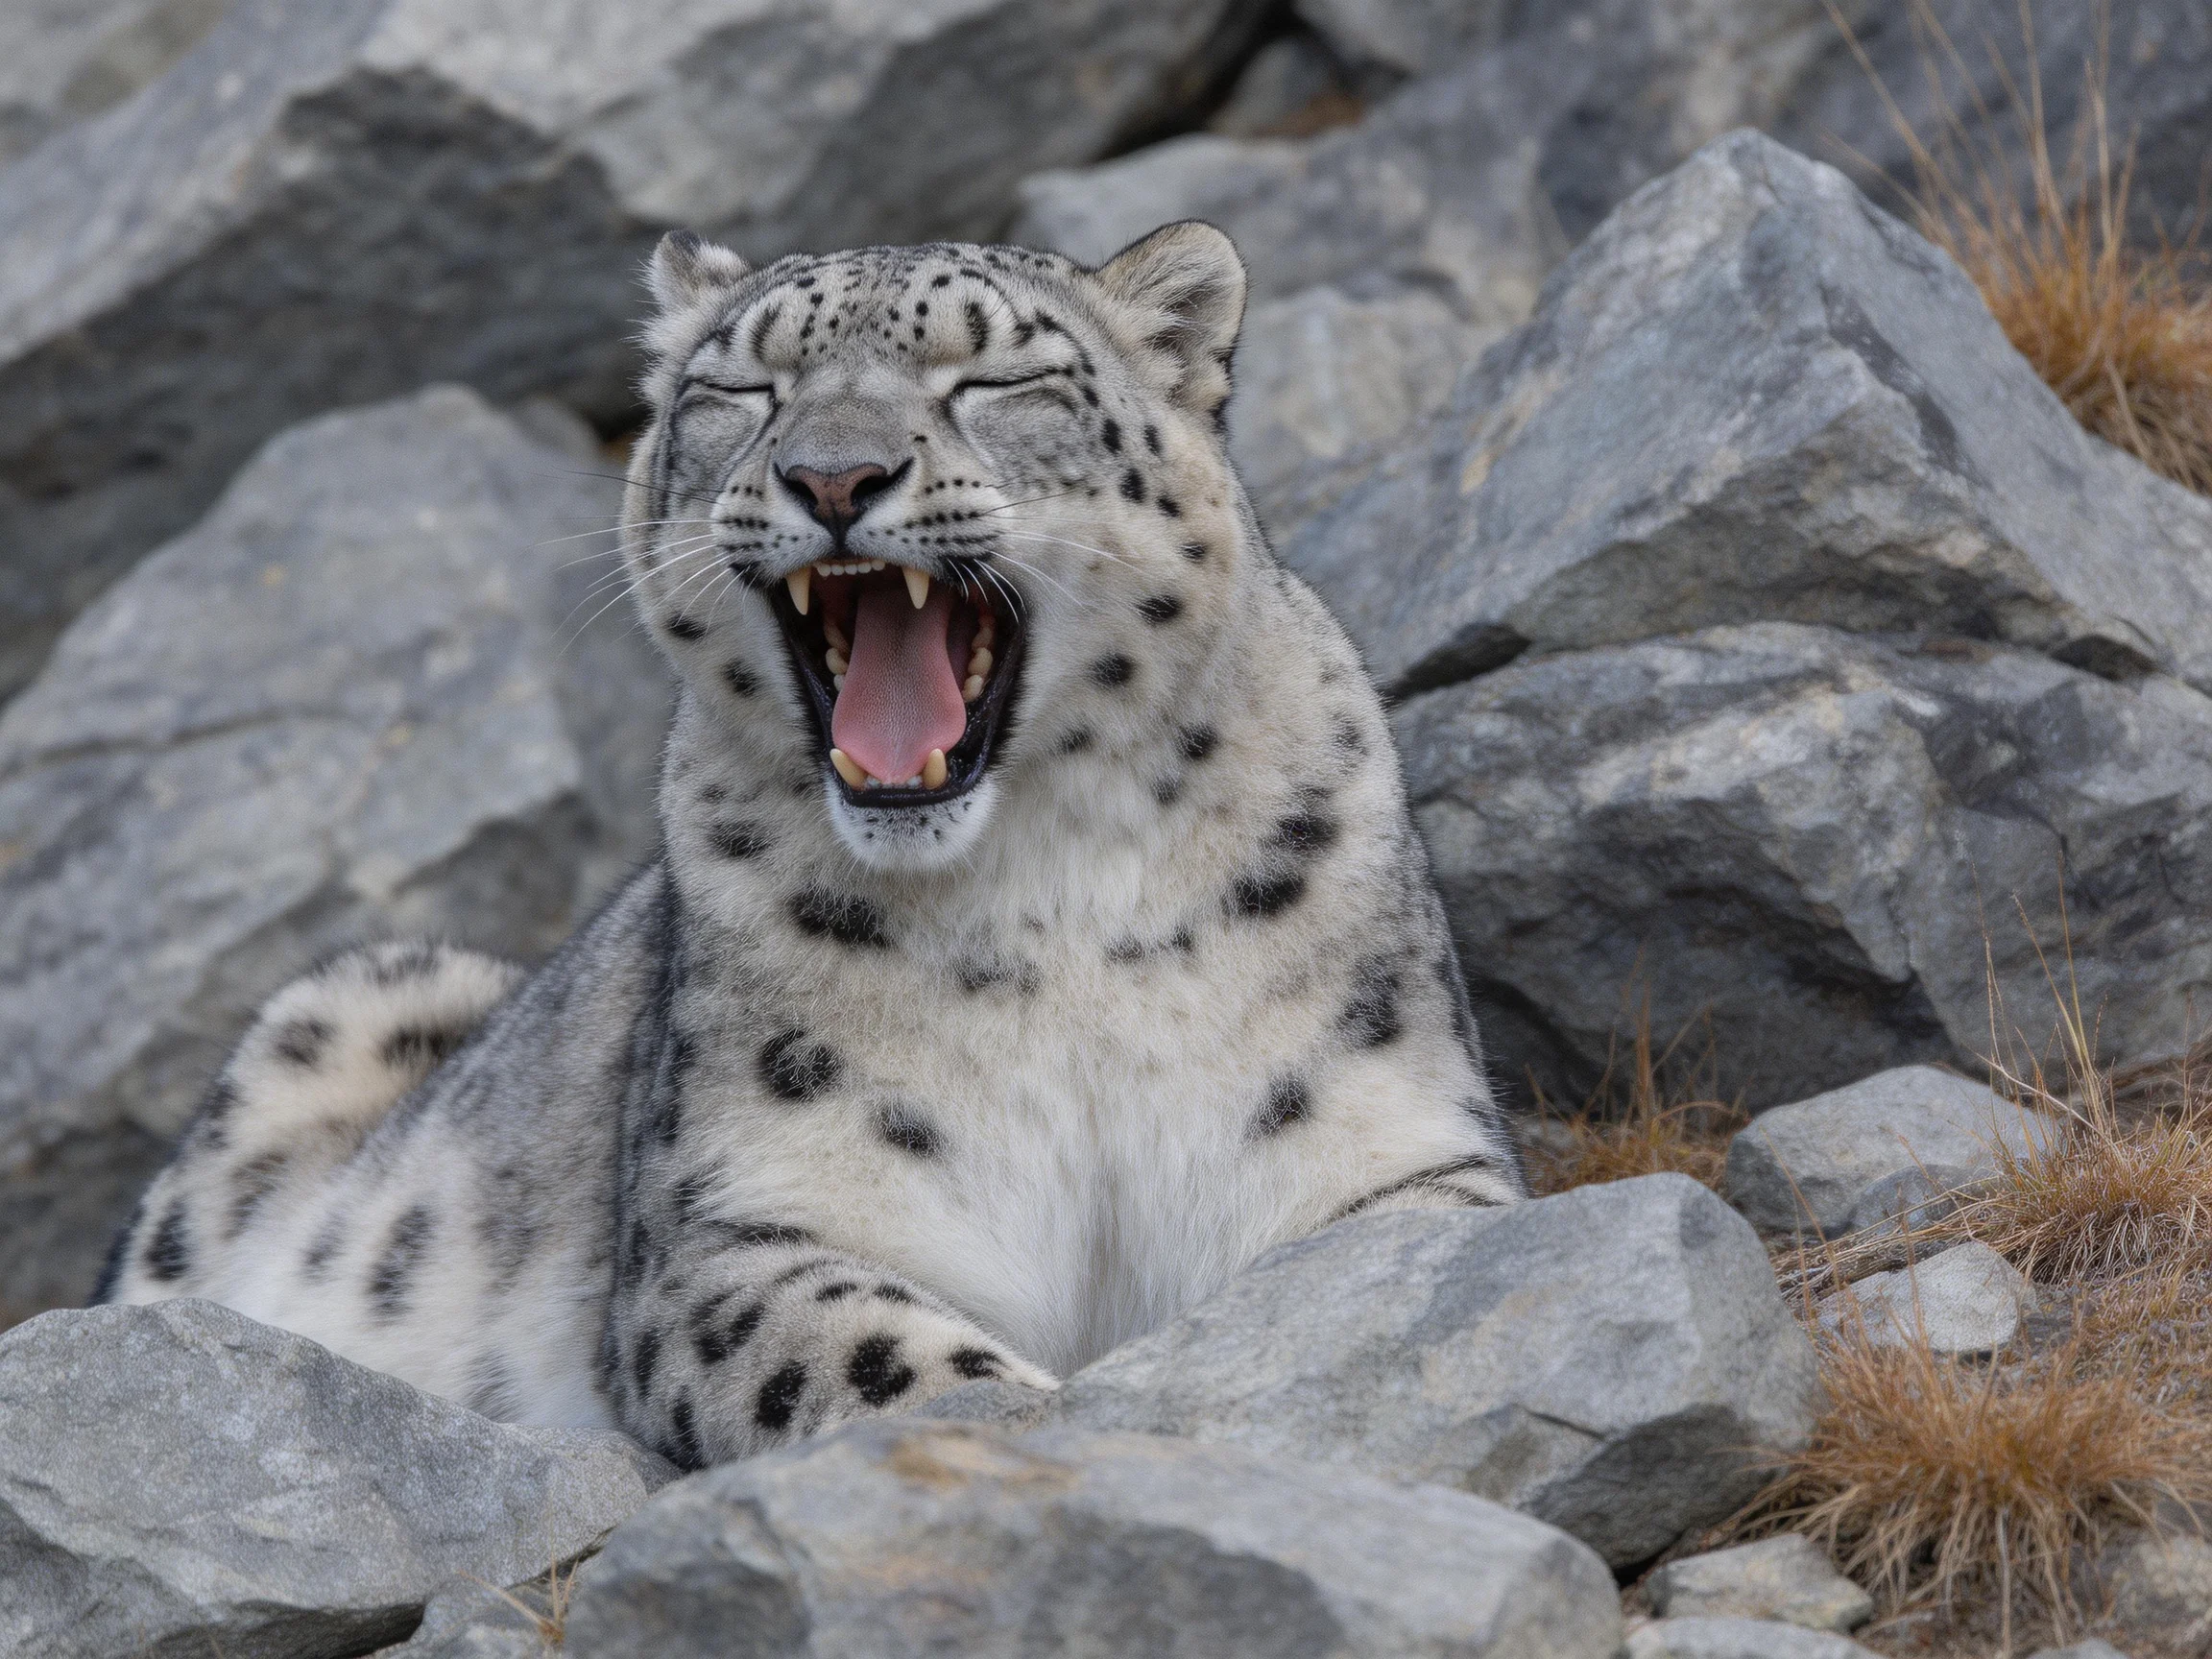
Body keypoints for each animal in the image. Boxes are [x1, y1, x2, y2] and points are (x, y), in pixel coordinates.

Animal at [98, 222, 1526, 1468]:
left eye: (990, 378)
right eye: (744, 389)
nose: (834, 478)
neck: (1047, 886)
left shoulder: (1382, 1137)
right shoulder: (737, 1225)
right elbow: (871, 1354)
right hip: (349, 1003)